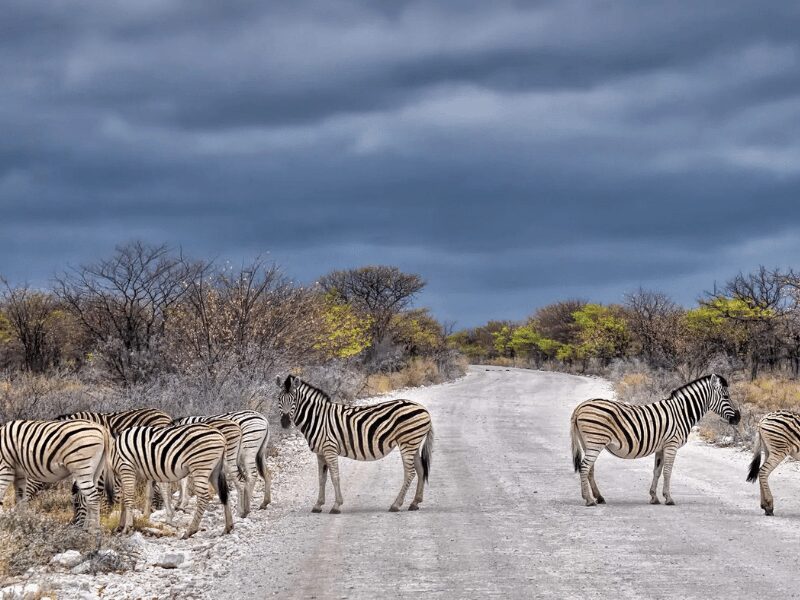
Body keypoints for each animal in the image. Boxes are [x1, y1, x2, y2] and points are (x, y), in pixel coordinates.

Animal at [276, 374, 434, 514]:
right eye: (279, 399)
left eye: (294, 400)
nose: (284, 423)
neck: (317, 418)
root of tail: (424, 409)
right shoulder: (320, 452)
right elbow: (322, 479)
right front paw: (318, 505)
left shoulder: (329, 448)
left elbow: (335, 477)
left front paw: (336, 506)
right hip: (413, 443)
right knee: (420, 470)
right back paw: (415, 503)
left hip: (408, 443)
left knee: (410, 473)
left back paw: (396, 505)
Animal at [570, 373, 740, 506]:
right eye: (726, 397)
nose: (738, 418)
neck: (682, 412)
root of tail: (580, 406)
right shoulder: (671, 444)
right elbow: (667, 471)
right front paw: (669, 498)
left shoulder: (661, 447)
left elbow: (657, 471)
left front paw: (654, 497)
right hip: (595, 441)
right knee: (585, 467)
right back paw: (589, 500)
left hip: (589, 443)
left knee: (590, 469)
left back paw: (599, 497)